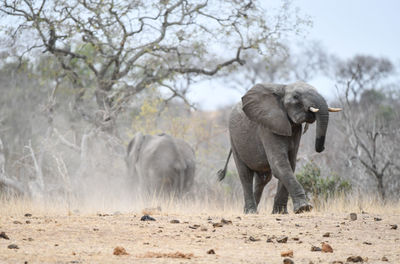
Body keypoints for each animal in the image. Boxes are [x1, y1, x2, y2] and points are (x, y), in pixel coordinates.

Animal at [217, 81, 342, 213]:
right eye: (296, 96)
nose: (321, 148)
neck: (283, 88)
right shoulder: (267, 127)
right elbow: (280, 165)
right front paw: (304, 208)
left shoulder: (295, 130)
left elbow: (290, 164)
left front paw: (281, 212)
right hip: (234, 140)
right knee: (245, 175)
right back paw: (251, 211)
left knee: (263, 179)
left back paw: (248, 211)